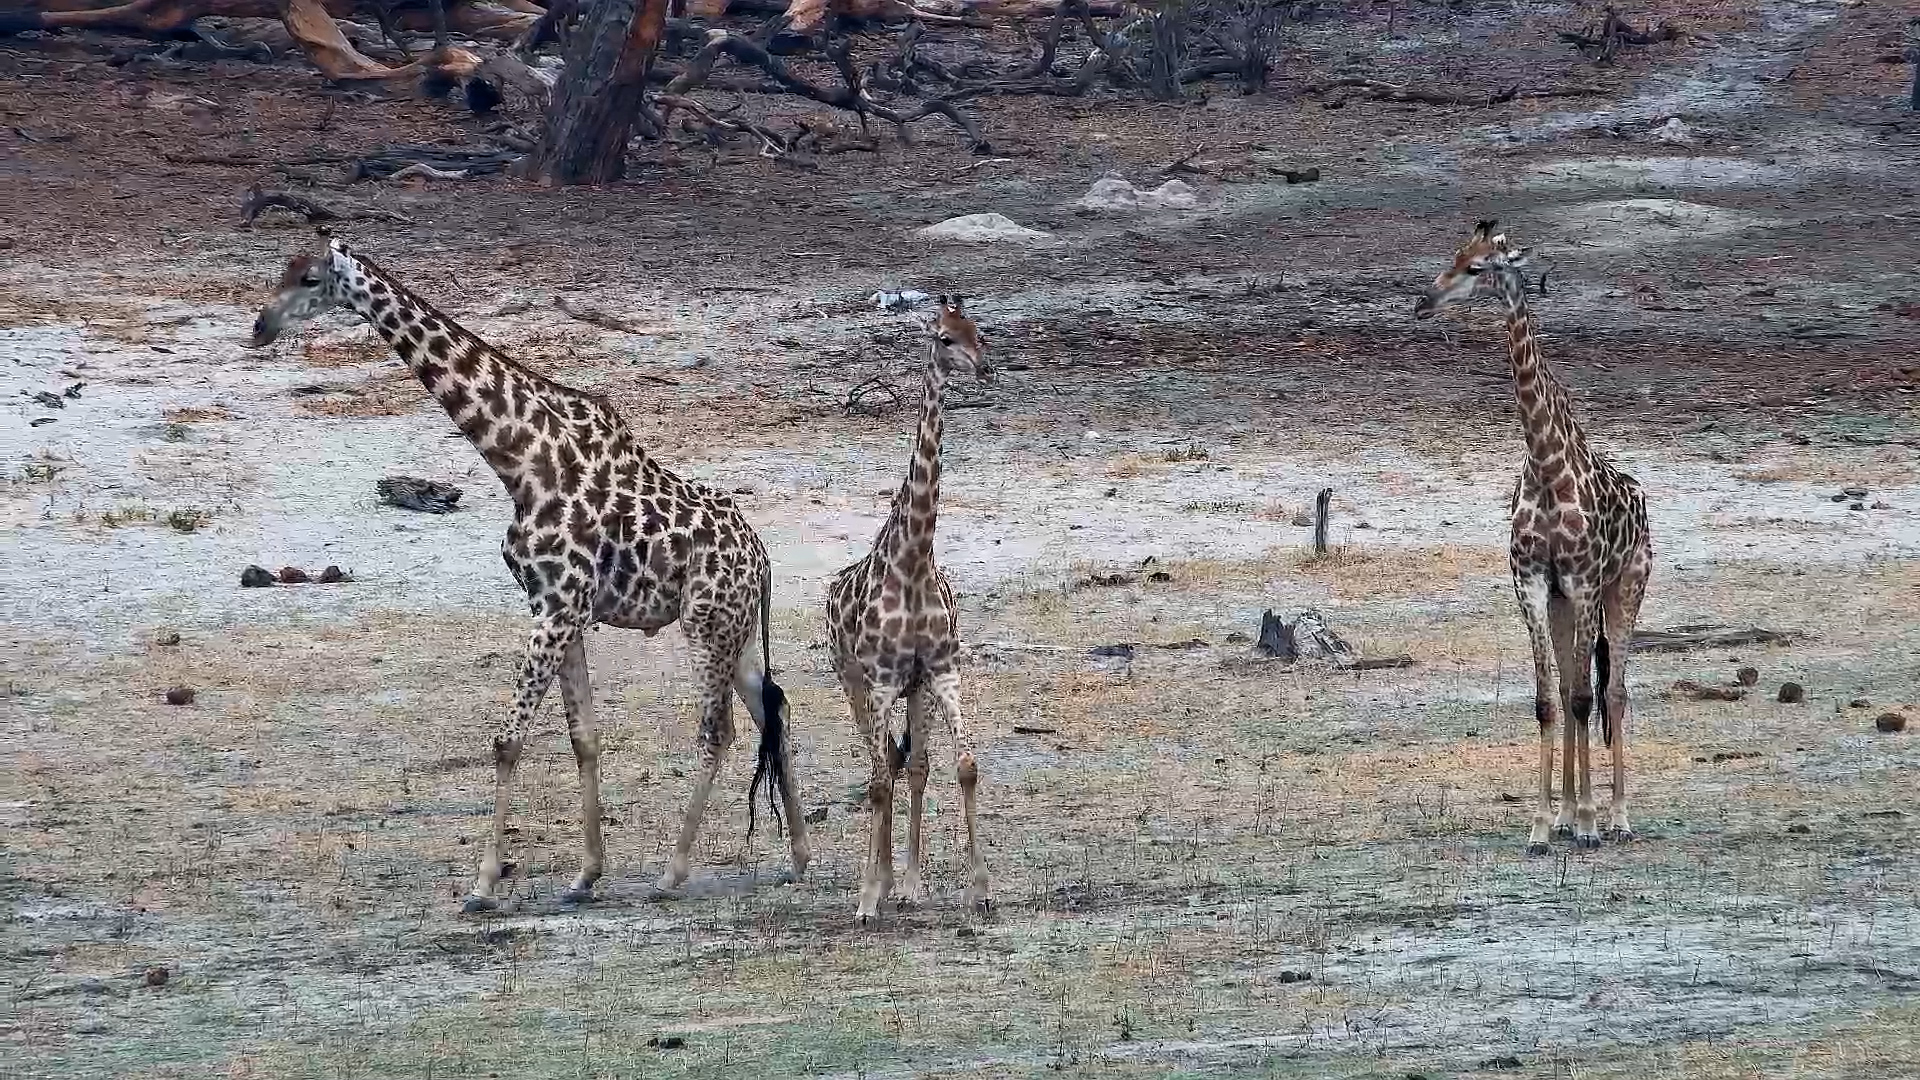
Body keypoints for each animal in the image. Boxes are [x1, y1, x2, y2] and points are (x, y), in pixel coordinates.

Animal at [250, 235, 810, 910]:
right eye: (279, 270)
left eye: (309, 279)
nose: (259, 327)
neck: (520, 460)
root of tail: (762, 557)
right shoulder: (555, 608)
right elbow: (582, 737)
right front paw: (585, 875)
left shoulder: (560, 609)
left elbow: (508, 739)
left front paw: (484, 884)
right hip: (737, 630)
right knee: (774, 710)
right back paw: (800, 857)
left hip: (706, 624)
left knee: (717, 730)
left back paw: (673, 873)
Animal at [826, 294, 992, 922]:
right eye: (944, 337)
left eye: (980, 333)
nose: (985, 369)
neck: (914, 558)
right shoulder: (876, 681)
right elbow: (877, 782)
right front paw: (868, 897)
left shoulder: (939, 670)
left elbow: (961, 766)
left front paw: (980, 889)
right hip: (850, 682)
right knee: (879, 771)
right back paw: (877, 885)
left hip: (913, 688)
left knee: (910, 767)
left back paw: (909, 882)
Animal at [1415, 221, 1653, 854]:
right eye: (1452, 256)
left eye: (1477, 268)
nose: (1424, 300)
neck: (1546, 465)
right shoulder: (1532, 581)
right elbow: (1550, 700)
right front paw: (1544, 826)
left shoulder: (1585, 579)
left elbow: (1585, 697)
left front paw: (1590, 823)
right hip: (1567, 602)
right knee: (1575, 688)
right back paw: (1570, 816)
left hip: (1626, 586)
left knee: (1612, 692)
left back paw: (1617, 818)